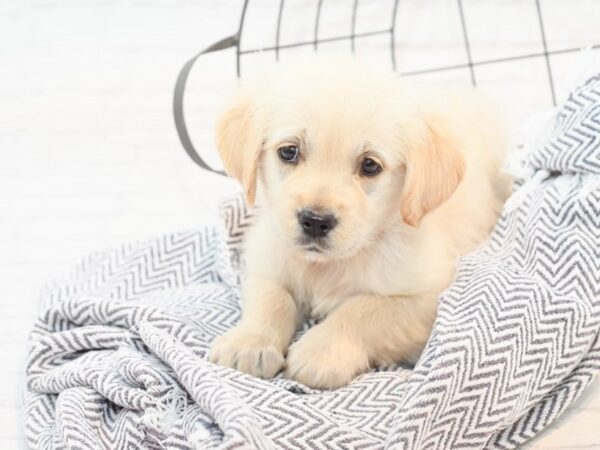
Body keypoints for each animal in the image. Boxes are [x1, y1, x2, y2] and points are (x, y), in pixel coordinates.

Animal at [209, 57, 508, 390]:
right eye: (289, 151)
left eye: (369, 165)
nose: (315, 221)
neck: (327, 266)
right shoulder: (267, 259)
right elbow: (272, 297)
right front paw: (249, 342)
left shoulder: (425, 297)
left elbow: (362, 310)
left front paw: (318, 352)